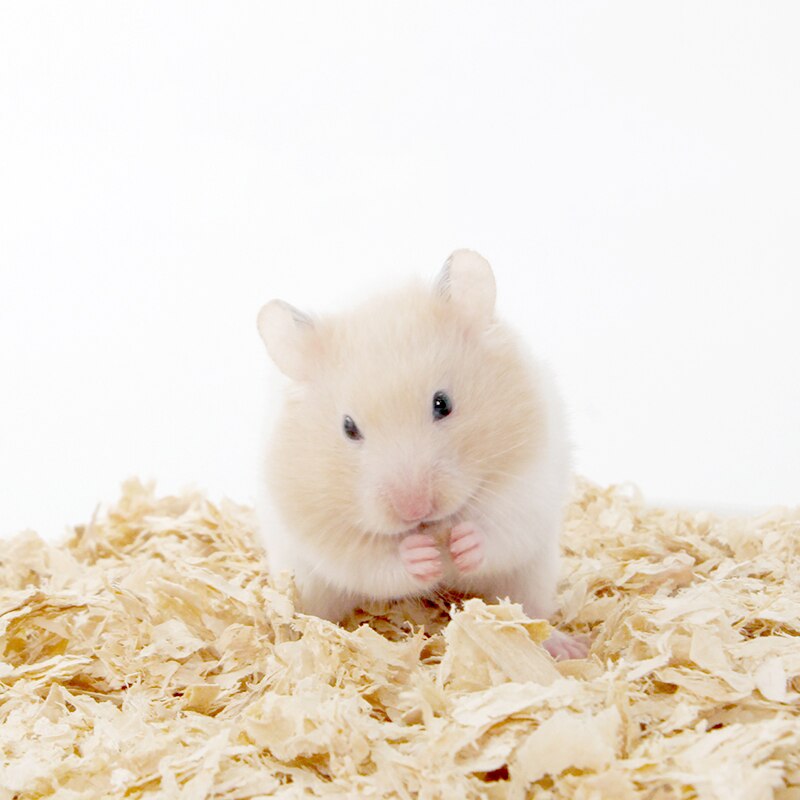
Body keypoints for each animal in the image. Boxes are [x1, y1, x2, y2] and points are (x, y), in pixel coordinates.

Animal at [256, 250, 587, 660]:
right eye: (349, 428)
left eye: (442, 404)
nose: (415, 509)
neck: (434, 527)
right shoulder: (324, 533)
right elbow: (373, 561)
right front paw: (423, 557)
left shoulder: (530, 485)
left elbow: (499, 530)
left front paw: (462, 544)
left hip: (533, 576)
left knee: (531, 612)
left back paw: (568, 648)